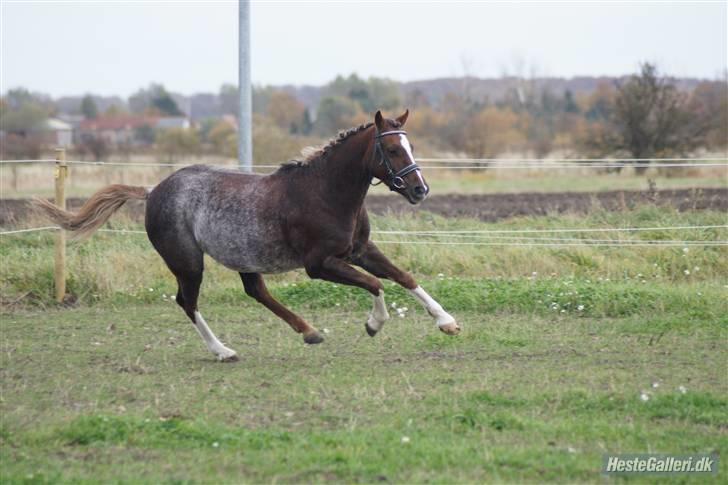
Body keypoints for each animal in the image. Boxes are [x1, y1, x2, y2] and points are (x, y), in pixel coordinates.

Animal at [34, 109, 460, 360]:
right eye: (392, 149)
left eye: (410, 144)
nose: (421, 190)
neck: (325, 192)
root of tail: (153, 190)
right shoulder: (319, 265)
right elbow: (376, 284)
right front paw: (374, 325)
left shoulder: (359, 249)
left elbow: (403, 277)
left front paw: (447, 322)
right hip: (188, 262)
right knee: (187, 301)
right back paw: (223, 350)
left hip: (242, 255)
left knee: (255, 291)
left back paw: (309, 332)